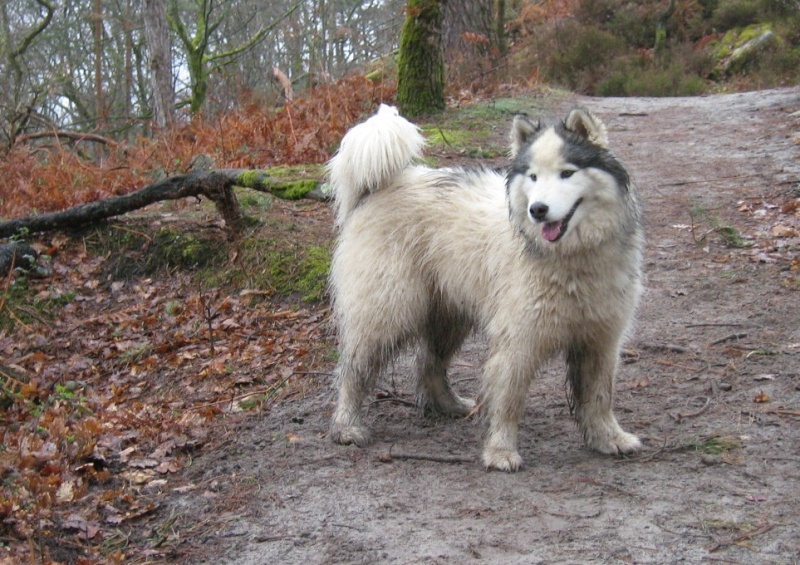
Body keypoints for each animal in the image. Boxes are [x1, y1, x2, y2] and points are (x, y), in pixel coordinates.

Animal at [324, 103, 644, 470]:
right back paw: (346, 426)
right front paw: (500, 451)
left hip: (448, 314)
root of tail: (379, 186)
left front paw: (609, 438)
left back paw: (447, 405)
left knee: (428, 362)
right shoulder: (517, 341)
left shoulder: (600, 340)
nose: (538, 210)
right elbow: (508, 401)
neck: (570, 257)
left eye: (567, 173)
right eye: (533, 177)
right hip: (388, 310)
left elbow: (600, 396)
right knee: (354, 370)